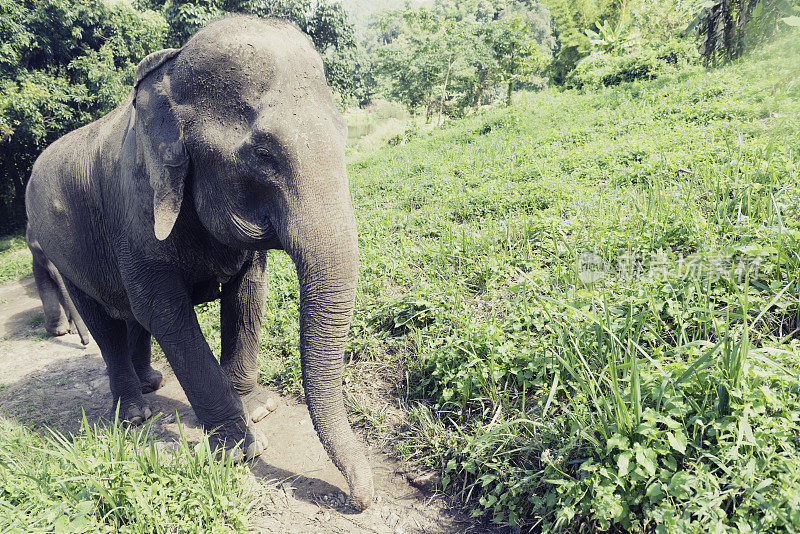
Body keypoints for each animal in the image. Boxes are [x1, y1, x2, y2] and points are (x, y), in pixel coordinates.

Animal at [25, 15, 374, 510]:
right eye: (263, 154)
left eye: (345, 133)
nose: (360, 499)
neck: (168, 77)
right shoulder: (135, 212)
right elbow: (165, 313)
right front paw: (244, 448)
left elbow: (248, 295)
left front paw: (258, 410)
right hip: (67, 252)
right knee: (104, 321)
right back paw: (133, 414)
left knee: (129, 317)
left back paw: (151, 383)